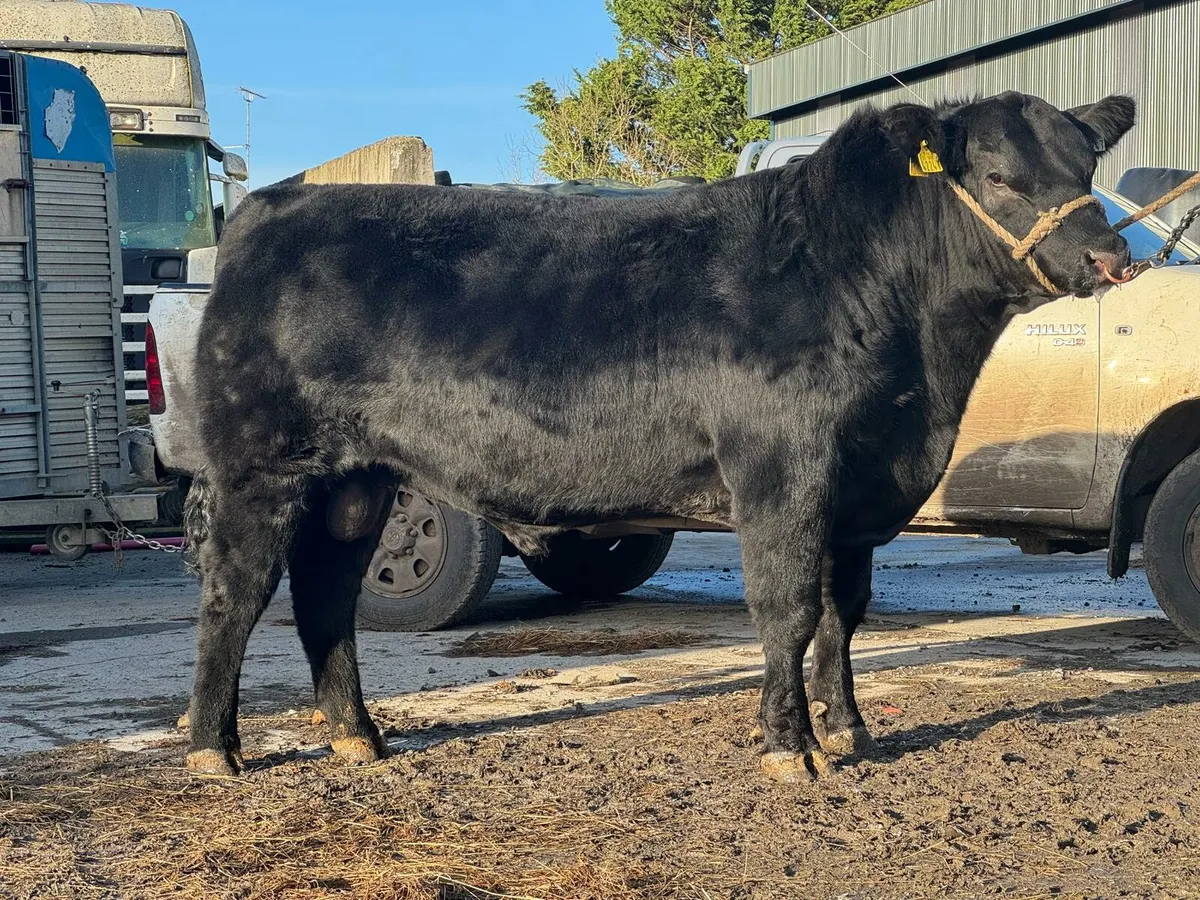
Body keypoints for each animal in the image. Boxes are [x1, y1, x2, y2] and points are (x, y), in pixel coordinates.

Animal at [181, 91, 1134, 781]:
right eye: (1002, 177)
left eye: (1086, 163)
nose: (1112, 256)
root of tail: (272, 208)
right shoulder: (783, 468)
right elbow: (789, 608)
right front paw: (791, 748)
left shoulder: (863, 484)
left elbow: (844, 612)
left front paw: (852, 730)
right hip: (262, 462)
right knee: (236, 593)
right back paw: (213, 749)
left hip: (358, 474)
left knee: (327, 591)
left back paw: (358, 737)